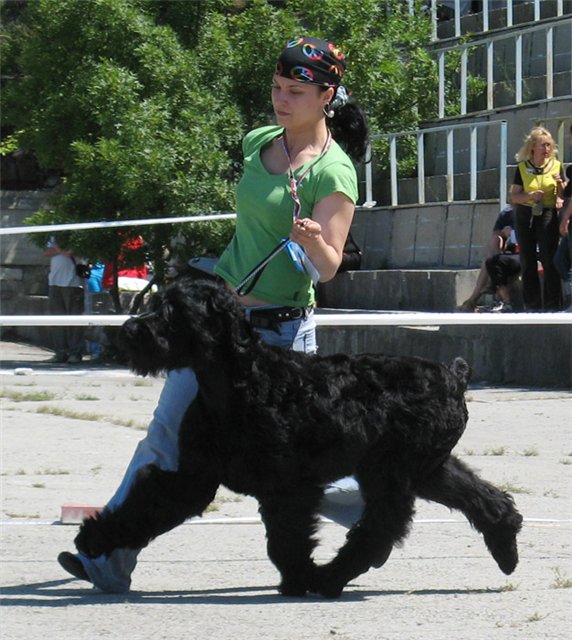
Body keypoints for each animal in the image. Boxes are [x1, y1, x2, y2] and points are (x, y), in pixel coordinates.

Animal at [76, 278, 524, 596]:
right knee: (480, 496)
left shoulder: (289, 487)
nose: (129, 329)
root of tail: (453, 376)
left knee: (381, 525)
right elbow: (149, 502)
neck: (238, 380)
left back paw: (330, 579)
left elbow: (285, 539)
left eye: (174, 310)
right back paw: (505, 544)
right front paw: (95, 537)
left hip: (391, 471)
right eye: (157, 302)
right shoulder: (193, 478)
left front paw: (298, 578)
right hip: (428, 468)